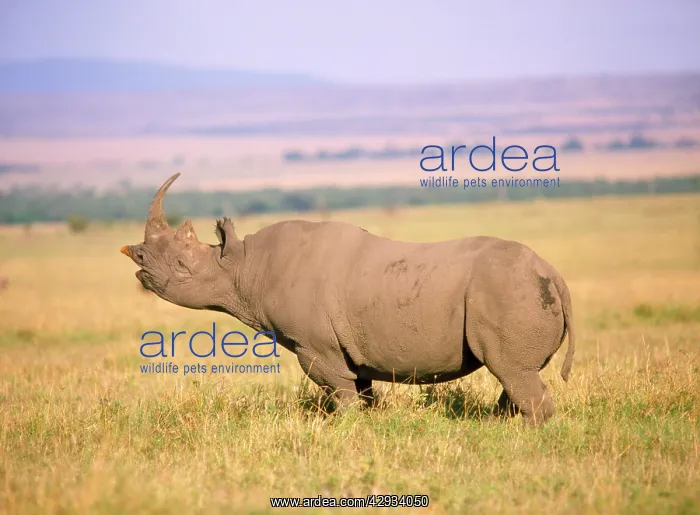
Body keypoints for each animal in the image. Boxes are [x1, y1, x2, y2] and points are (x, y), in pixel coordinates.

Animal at [121, 173, 575, 425]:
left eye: (182, 264)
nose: (135, 257)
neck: (244, 265)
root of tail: (554, 273)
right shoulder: (347, 346)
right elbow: (361, 387)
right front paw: (367, 423)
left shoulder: (314, 344)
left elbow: (338, 388)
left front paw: (345, 427)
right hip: (522, 291)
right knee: (513, 371)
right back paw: (499, 427)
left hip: (508, 291)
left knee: (511, 370)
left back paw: (521, 434)